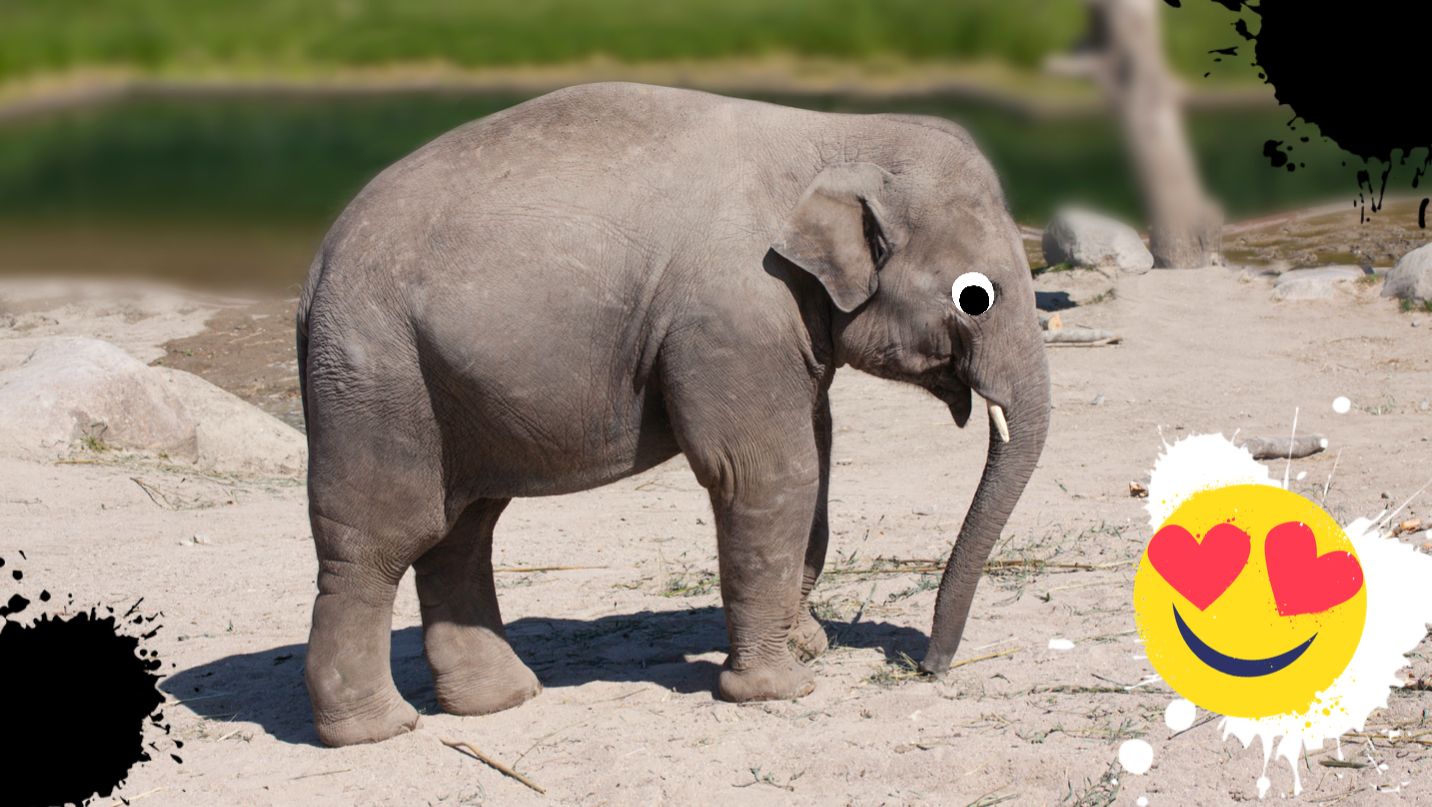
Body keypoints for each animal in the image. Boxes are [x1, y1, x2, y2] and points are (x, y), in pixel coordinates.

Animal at [296, 78, 1053, 749]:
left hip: (447, 385)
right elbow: (767, 473)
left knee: (462, 529)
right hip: (373, 371)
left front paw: (811, 645)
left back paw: (500, 700)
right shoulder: (733, 315)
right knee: (382, 537)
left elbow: (818, 458)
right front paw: (782, 688)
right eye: (975, 296)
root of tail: (314, 271)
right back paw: (375, 730)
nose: (927, 666)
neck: (835, 134)